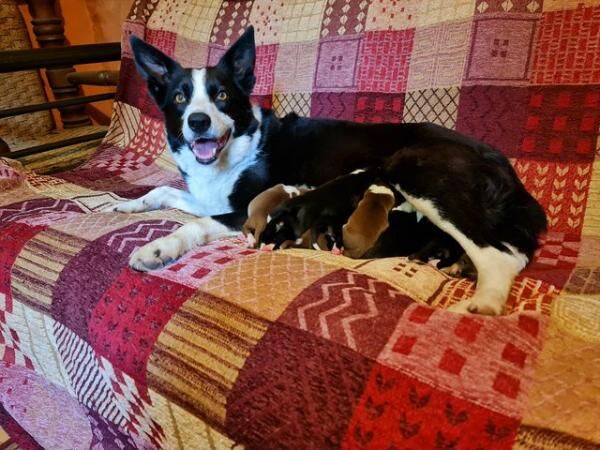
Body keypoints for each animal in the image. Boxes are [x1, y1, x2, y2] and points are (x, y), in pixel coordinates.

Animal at [111, 27, 548, 316]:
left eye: (221, 95)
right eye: (179, 98)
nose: (198, 122)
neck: (237, 146)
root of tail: (505, 168)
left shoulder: (243, 209)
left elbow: (195, 224)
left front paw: (156, 248)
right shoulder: (206, 194)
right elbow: (163, 192)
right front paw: (126, 205)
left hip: (420, 172)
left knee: (501, 255)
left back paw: (479, 306)